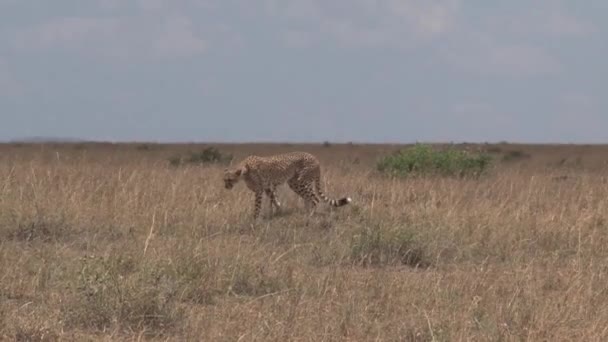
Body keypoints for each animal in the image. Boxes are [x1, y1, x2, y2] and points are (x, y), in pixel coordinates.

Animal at [223, 152, 352, 219]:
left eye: (229, 180)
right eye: (224, 180)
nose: (225, 187)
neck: (244, 170)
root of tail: (315, 158)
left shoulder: (260, 190)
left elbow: (258, 206)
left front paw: (255, 219)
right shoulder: (268, 187)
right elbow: (274, 200)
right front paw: (278, 211)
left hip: (301, 181)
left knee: (314, 198)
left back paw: (310, 216)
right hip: (295, 182)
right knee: (308, 198)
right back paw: (306, 213)